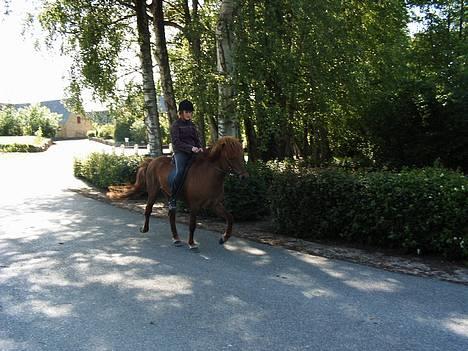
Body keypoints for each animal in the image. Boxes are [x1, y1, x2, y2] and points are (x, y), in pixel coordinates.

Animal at [108, 136, 249, 249]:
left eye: (241, 155)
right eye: (231, 157)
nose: (244, 177)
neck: (209, 174)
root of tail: (152, 161)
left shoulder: (214, 204)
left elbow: (230, 218)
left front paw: (224, 238)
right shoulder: (194, 205)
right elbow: (192, 225)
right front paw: (192, 243)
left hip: (169, 195)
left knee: (171, 215)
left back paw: (176, 238)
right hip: (153, 191)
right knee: (148, 210)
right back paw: (145, 229)